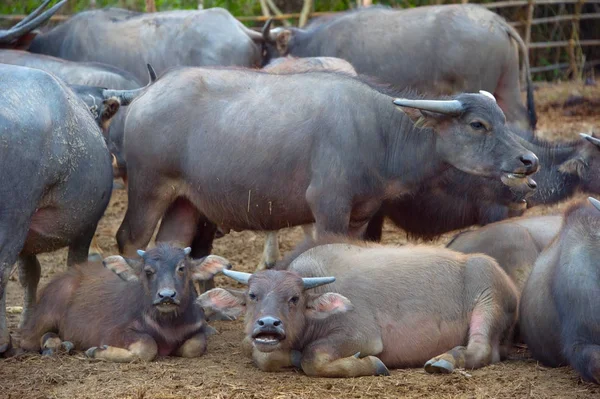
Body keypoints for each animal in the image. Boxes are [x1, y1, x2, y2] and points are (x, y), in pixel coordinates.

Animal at [117, 67, 540, 266]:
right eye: (477, 124)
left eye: (502, 119)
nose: (530, 161)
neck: (378, 134)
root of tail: (143, 96)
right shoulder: (328, 207)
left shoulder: (361, 215)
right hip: (148, 189)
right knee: (130, 239)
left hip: (185, 201)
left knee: (171, 245)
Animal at [199, 239, 516, 380]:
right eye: (253, 295)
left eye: (294, 298)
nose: (268, 324)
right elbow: (259, 354)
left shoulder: (362, 336)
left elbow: (313, 357)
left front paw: (373, 365)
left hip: (488, 300)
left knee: (481, 349)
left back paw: (444, 360)